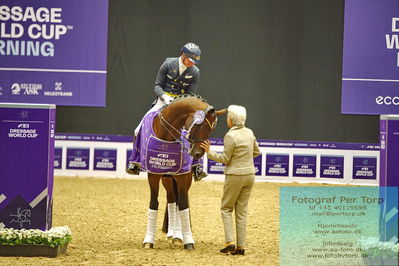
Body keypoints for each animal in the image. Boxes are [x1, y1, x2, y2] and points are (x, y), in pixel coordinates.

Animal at [142, 94, 225, 250]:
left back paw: (177, 236)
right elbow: (154, 203)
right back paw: (172, 233)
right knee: (171, 199)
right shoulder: (153, 174)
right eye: (201, 125)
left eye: (212, 128)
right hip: (167, 178)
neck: (167, 136)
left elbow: (183, 204)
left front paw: (187, 240)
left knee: (179, 201)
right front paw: (148, 241)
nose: (198, 153)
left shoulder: (183, 176)